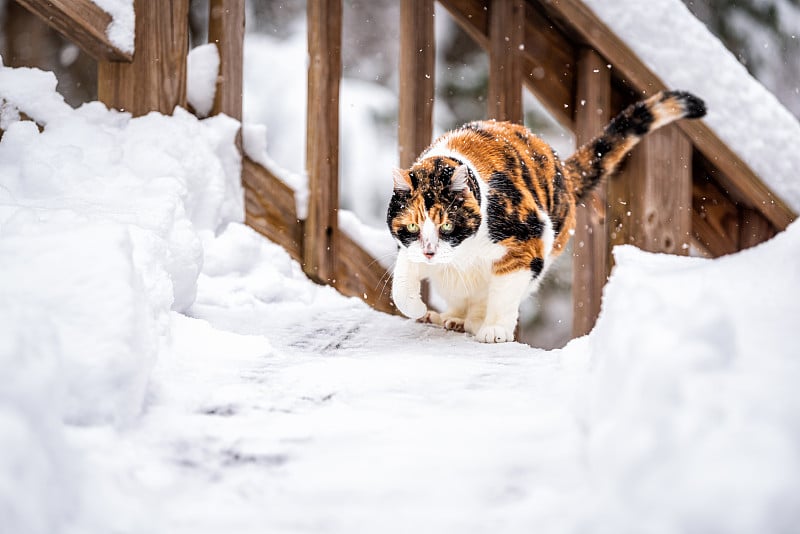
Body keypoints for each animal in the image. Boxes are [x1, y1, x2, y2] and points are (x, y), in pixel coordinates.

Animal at [388, 90, 708, 346]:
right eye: (413, 225)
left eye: (447, 224)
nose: (430, 252)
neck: (463, 253)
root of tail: (563, 170)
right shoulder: (411, 250)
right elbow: (402, 282)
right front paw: (416, 308)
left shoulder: (528, 242)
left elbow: (503, 292)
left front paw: (493, 329)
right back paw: (447, 317)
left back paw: (469, 321)